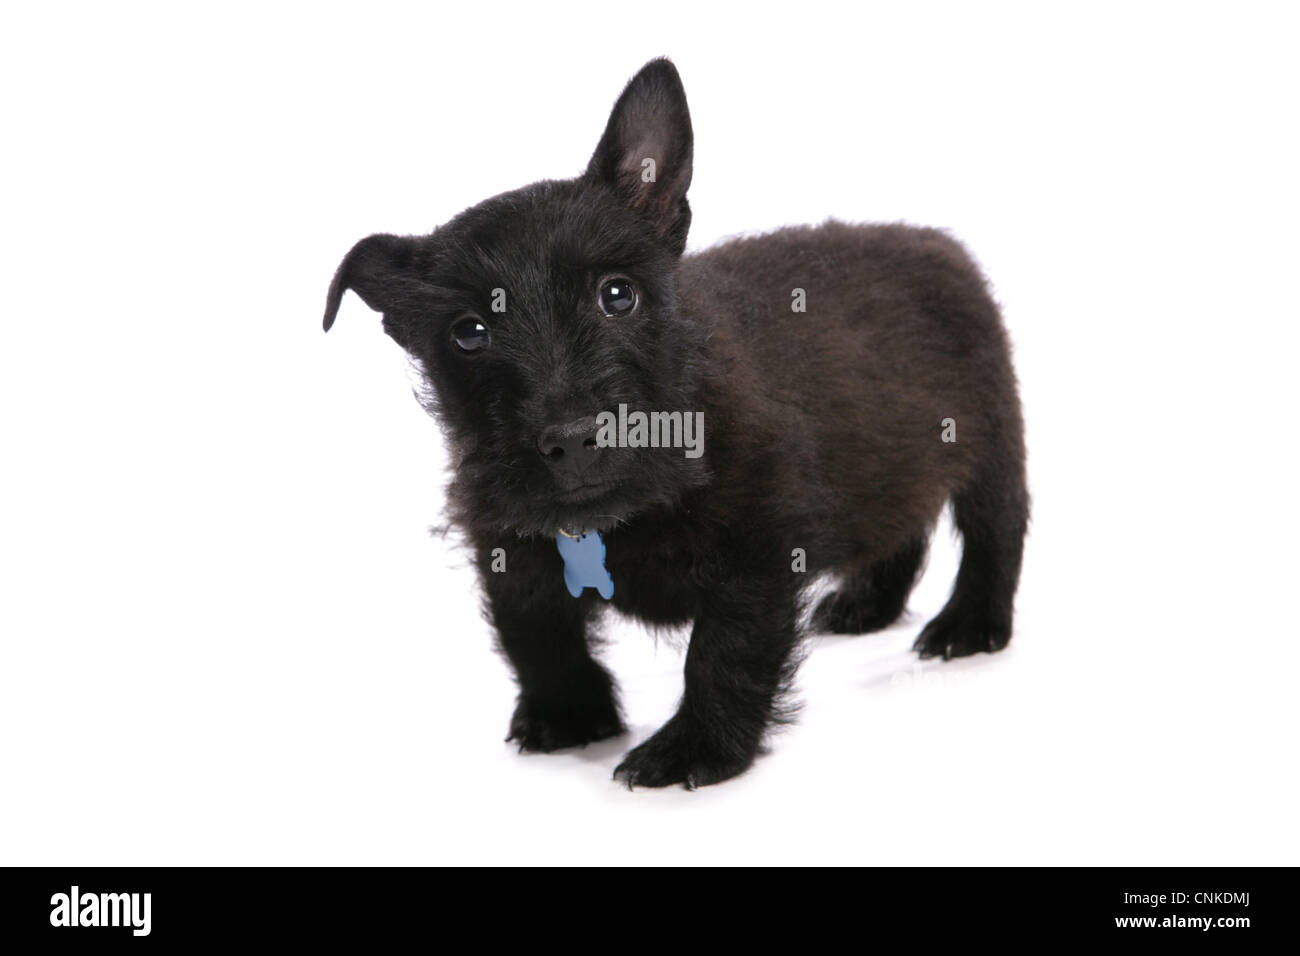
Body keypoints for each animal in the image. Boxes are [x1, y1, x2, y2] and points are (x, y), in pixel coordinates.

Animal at [322, 61, 1024, 790]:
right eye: (469, 332)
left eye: (617, 295)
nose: (573, 439)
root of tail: (933, 241)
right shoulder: (511, 546)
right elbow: (538, 633)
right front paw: (567, 715)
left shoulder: (756, 553)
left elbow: (723, 651)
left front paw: (695, 747)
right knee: (901, 528)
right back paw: (868, 606)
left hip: (991, 442)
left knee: (996, 531)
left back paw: (970, 623)